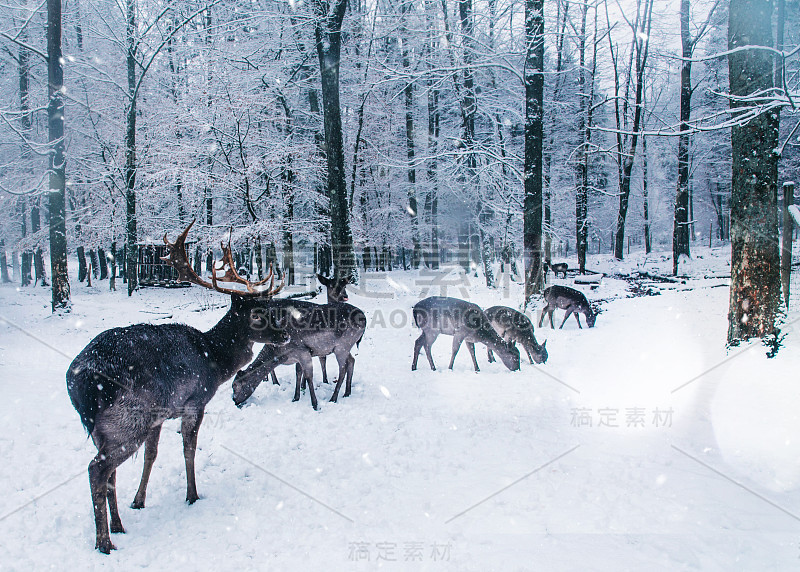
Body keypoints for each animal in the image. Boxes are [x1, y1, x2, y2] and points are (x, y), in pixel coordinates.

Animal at [66, 221, 288, 552]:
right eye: (257, 314)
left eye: (270, 307)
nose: (285, 334)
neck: (214, 359)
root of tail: (80, 382)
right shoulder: (195, 401)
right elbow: (189, 449)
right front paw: (192, 495)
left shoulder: (159, 415)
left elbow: (151, 455)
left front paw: (139, 501)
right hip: (128, 418)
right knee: (97, 469)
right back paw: (104, 542)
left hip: (104, 428)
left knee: (110, 473)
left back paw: (118, 525)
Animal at [231, 278, 366, 412]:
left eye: (234, 386)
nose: (234, 401)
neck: (281, 354)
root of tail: (364, 318)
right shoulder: (298, 356)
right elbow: (298, 373)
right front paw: (296, 397)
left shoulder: (303, 351)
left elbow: (309, 376)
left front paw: (315, 404)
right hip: (346, 346)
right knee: (352, 360)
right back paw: (347, 392)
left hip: (342, 346)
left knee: (343, 368)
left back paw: (333, 398)